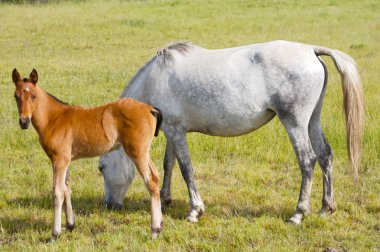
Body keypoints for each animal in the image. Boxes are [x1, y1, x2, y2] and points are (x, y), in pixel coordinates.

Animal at [11, 68, 163, 240]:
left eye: (33, 96)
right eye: (16, 96)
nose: (24, 122)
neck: (53, 118)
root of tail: (149, 108)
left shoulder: (59, 160)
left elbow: (57, 192)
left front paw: (55, 234)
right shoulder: (66, 160)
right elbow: (66, 188)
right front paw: (70, 225)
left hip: (137, 152)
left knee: (151, 181)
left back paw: (154, 230)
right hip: (144, 153)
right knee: (156, 177)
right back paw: (159, 226)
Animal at [97, 39, 362, 224]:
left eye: (101, 168)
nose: (109, 205)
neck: (156, 79)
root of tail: (311, 50)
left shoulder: (176, 132)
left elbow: (186, 169)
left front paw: (195, 211)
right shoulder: (173, 131)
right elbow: (168, 164)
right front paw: (164, 198)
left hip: (295, 122)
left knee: (308, 161)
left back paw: (298, 214)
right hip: (312, 120)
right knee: (325, 156)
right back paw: (326, 208)